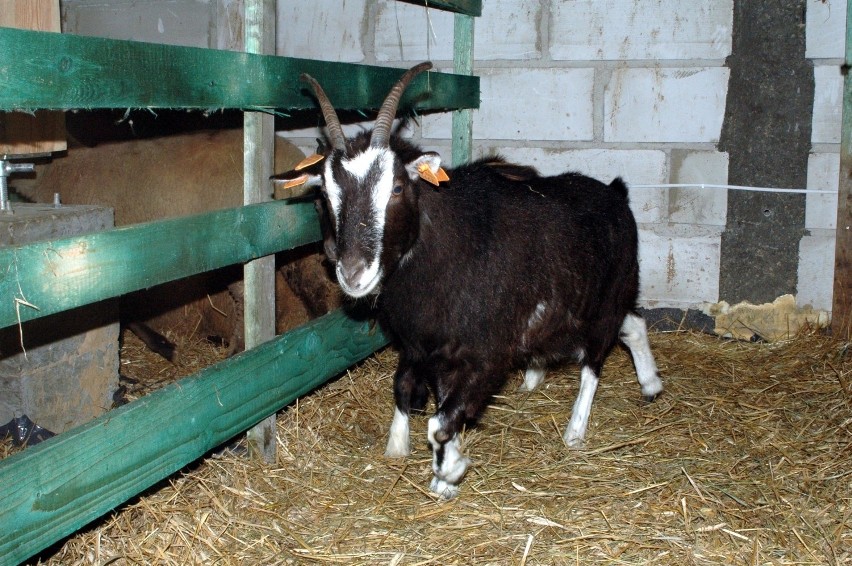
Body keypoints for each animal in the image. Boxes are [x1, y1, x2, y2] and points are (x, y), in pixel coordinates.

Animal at [276, 60, 664, 500]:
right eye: (325, 196)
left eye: (397, 187)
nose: (353, 272)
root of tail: (616, 192)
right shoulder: (420, 344)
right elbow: (406, 387)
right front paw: (401, 447)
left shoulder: (485, 353)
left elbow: (441, 421)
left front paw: (449, 470)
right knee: (632, 324)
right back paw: (647, 385)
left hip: (609, 296)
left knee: (596, 359)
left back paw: (575, 431)